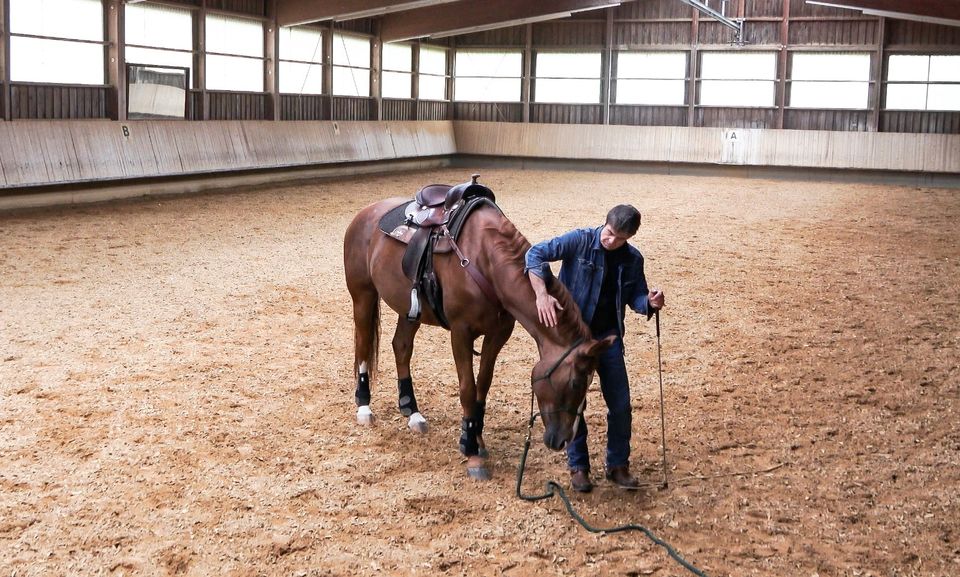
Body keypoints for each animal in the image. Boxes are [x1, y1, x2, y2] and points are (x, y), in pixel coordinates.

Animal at [344, 178, 616, 480]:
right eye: (575, 382)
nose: (563, 440)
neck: (484, 259)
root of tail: (366, 213)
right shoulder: (460, 332)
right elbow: (467, 387)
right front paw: (471, 450)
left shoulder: (498, 333)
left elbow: (482, 384)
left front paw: (476, 438)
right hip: (363, 295)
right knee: (363, 345)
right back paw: (364, 407)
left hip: (408, 309)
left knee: (401, 347)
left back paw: (412, 411)